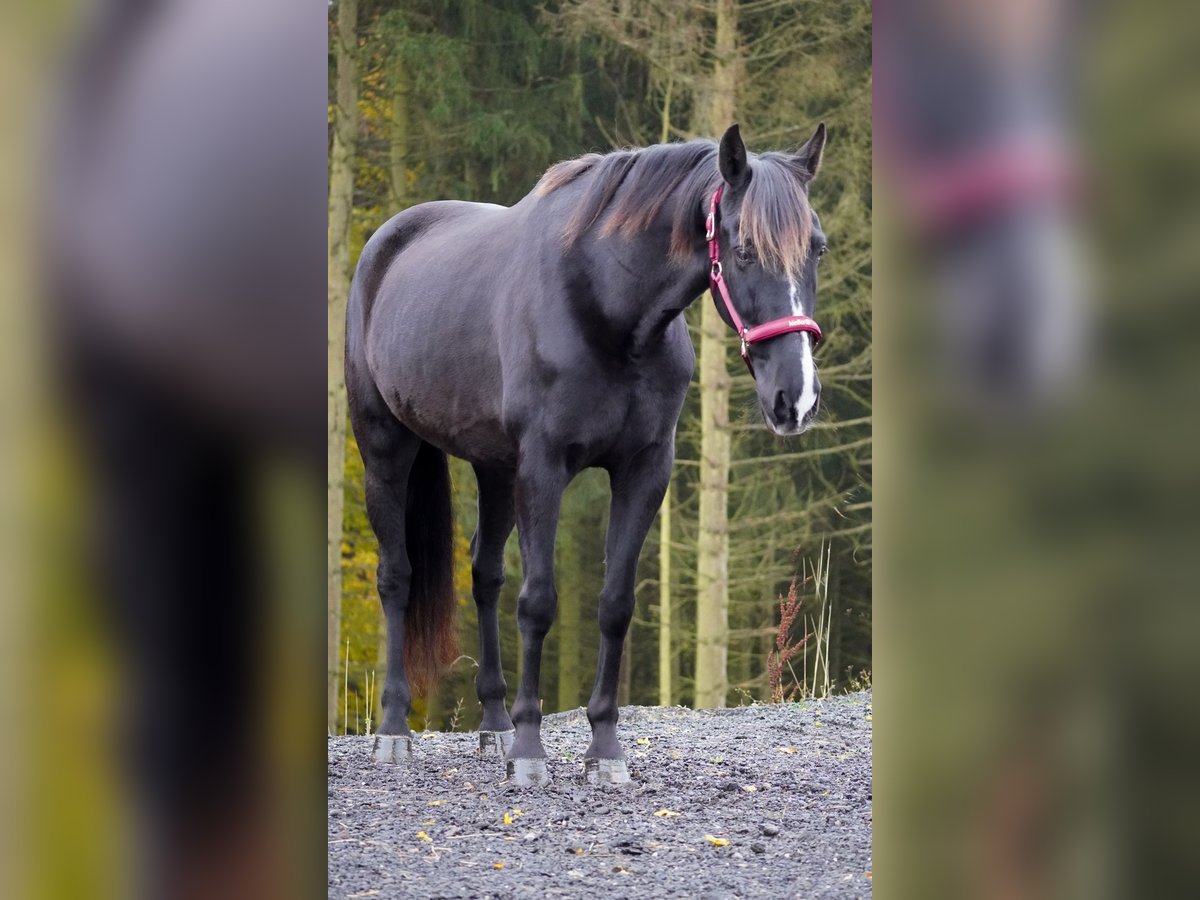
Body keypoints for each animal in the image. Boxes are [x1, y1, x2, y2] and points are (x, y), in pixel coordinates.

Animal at [348, 123, 830, 787]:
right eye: (745, 252)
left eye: (818, 249)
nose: (796, 399)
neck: (605, 305)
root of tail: (385, 245)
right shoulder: (544, 468)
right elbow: (538, 602)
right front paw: (531, 750)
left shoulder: (643, 471)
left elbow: (615, 604)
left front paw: (604, 749)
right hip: (386, 451)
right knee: (397, 578)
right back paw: (396, 731)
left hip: (495, 469)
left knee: (485, 575)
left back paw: (494, 724)